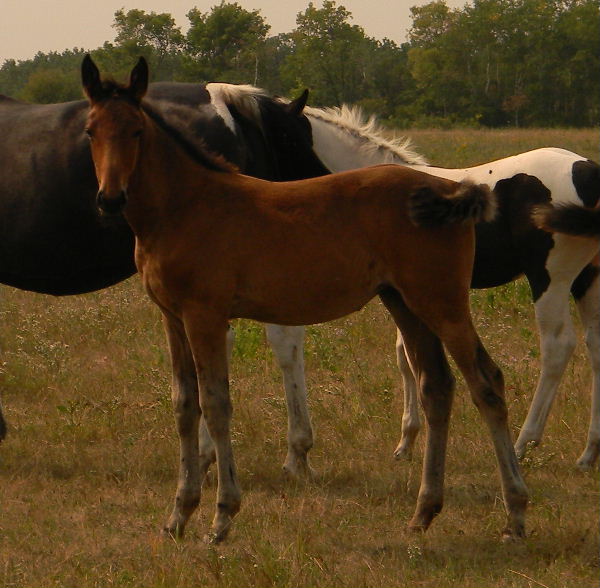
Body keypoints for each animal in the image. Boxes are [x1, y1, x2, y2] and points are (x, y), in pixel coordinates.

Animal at [81, 55, 528, 543]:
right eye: (91, 130)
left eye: (136, 131)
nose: (109, 199)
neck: (186, 207)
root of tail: (450, 190)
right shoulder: (172, 318)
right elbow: (185, 406)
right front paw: (179, 514)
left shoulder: (206, 316)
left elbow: (215, 405)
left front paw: (222, 516)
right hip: (405, 303)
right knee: (436, 387)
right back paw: (424, 511)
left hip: (443, 303)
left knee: (486, 383)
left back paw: (515, 514)